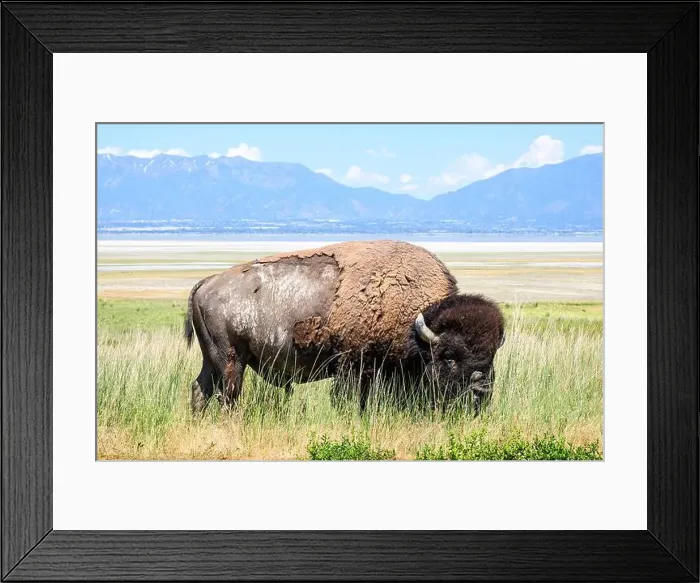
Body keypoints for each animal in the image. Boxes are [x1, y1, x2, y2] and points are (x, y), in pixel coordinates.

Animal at [184, 240, 506, 414]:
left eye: (491, 357)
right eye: (449, 357)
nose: (481, 391)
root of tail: (207, 281)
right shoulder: (354, 367)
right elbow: (350, 399)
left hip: (212, 359)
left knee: (201, 388)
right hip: (230, 358)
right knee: (228, 394)